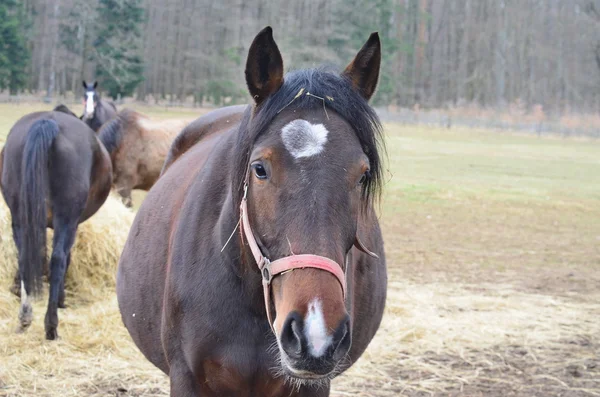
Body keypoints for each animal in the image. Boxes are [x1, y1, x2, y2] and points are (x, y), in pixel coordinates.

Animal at [0, 110, 113, 338]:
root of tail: (47, 122)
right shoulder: (72, 223)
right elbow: (66, 258)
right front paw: (61, 300)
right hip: (66, 217)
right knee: (58, 258)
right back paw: (51, 326)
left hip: (20, 215)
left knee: (24, 256)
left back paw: (25, 316)